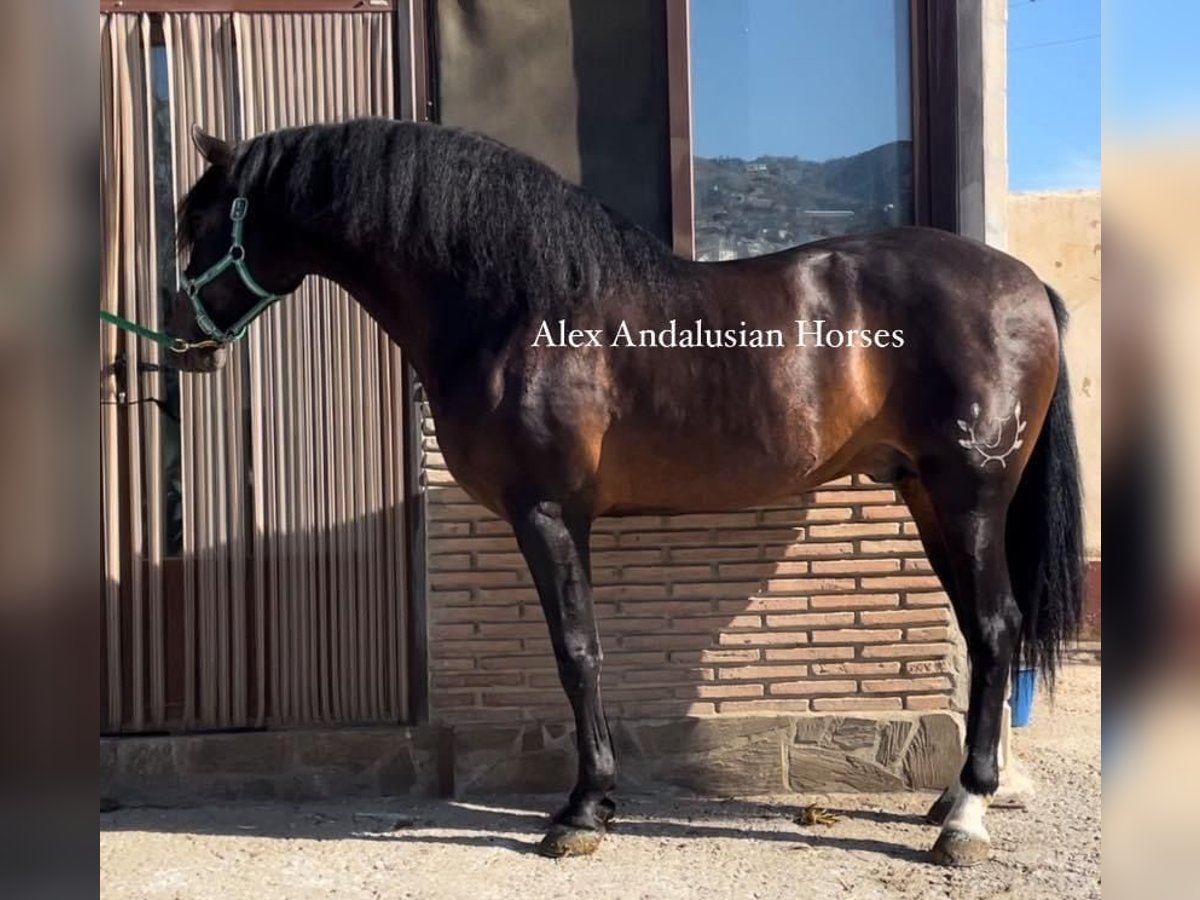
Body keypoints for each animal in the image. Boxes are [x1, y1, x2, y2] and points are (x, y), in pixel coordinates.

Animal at [166, 118, 1089, 868]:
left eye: (198, 222)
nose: (180, 341)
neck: (517, 308)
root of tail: (1024, 286)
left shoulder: (547, 512)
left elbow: (577, 653)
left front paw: (582, 810)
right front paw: (596, 800)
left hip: (971, 495)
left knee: (996, 628)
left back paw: (965, 820)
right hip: (930, 498)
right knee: (981, 633)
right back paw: (949, 798)